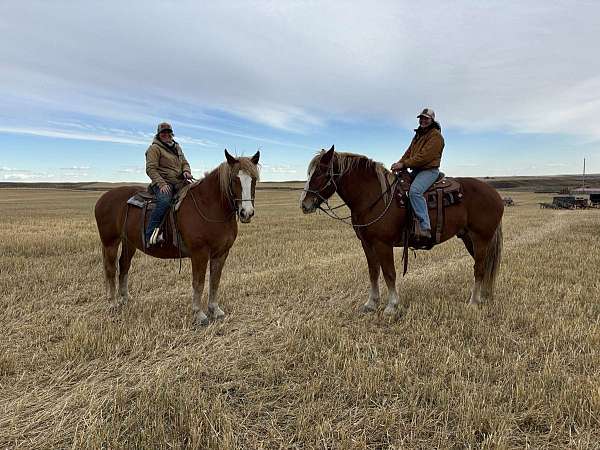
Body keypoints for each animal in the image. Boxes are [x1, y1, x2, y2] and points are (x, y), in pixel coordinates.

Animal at [95, 149, 258, 326]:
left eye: (254, 179)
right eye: (234, 179)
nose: (246, 213)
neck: (210, 206)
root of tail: (103, 198)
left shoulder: (221, 253)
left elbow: (215, 280)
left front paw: (215, 310)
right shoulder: (199, 253)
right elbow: (199, 282)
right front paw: (199, 314)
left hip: (129, 242)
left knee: (124, 266)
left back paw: (125, 299)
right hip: (110, 242)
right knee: (111, 269)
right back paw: (112, 304)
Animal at [298, 146, 502, 314]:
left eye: (322, 173)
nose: (304, 204)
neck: (375, 197)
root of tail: (494, 193)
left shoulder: (383, 244)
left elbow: (389, 273)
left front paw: (392, 305)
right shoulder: (366, 244)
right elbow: (373, 272)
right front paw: (371, 303)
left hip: (481, 238)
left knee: (479, 268)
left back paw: (473, 302)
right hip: (469, 238)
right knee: (483, 266)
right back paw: (483, 296)